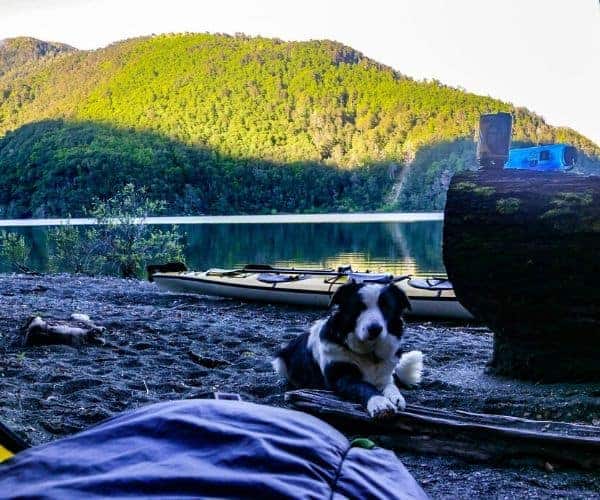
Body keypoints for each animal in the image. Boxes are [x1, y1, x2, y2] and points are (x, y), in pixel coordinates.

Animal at [272, 282, 422, 418]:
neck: (369, 353)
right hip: (280, 361)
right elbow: (363, 386)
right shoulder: (341, 377)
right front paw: (379, 402)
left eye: (386, 307)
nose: (375, 329)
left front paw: (396, 397)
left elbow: (391, 386)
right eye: (359, 307)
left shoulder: (384, 376)